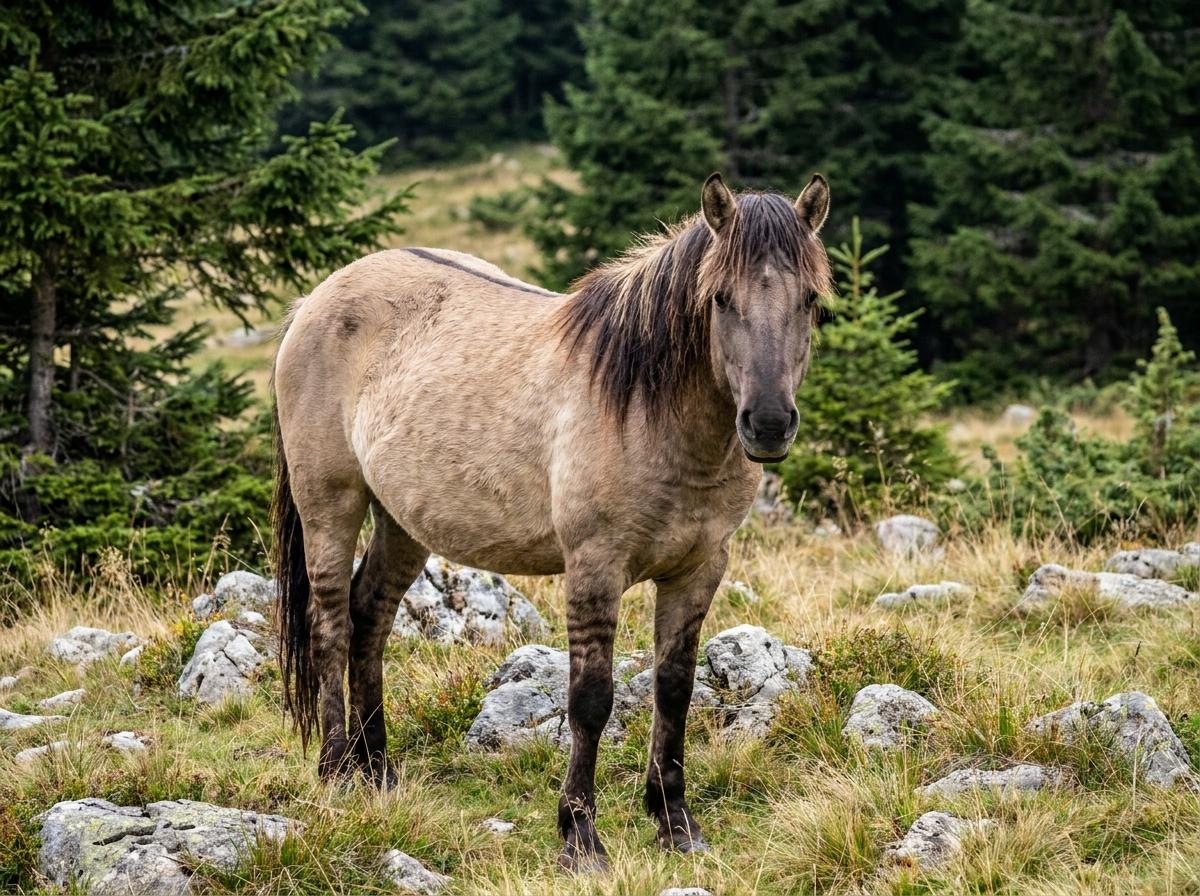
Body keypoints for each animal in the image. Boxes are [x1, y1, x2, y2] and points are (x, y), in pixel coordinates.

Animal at [271, 171, 832, 871]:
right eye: (721, 298)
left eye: (811, 301)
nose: (769, 424)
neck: (649, 408)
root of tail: (314, 301)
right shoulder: (595, 566)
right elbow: (590, 701)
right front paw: (580, 837)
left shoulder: (699, 568)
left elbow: (674, 689)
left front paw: (676, 823)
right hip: (331, 503)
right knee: (330, 624)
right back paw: (337, 771)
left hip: (401, 520)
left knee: (370, 616)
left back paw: (379, 770)